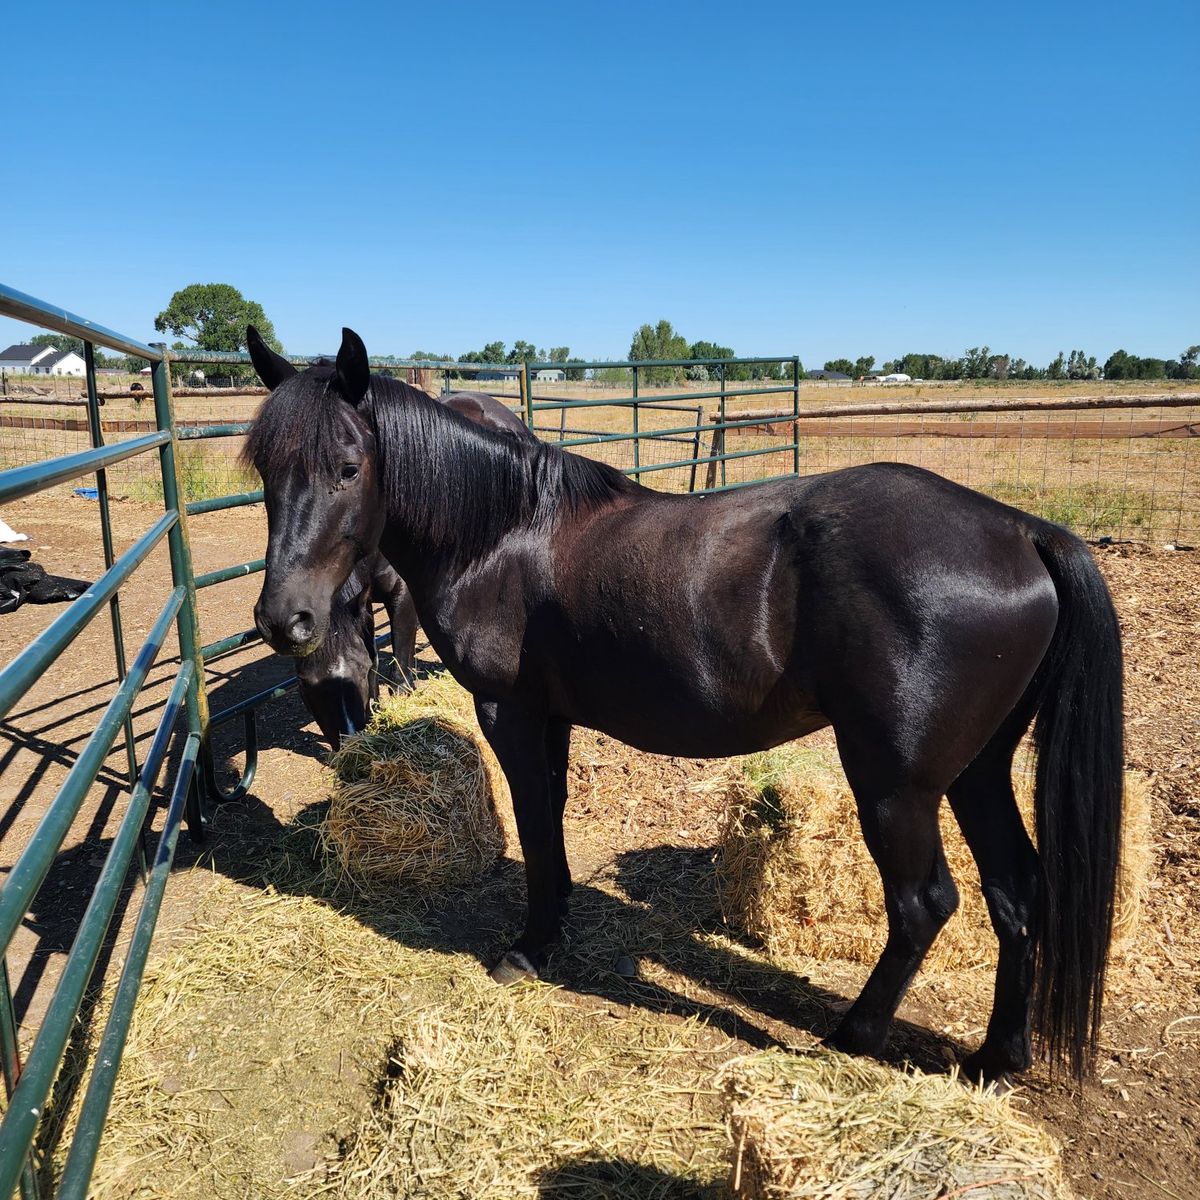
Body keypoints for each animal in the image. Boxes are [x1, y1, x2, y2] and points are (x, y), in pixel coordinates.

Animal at [244, 327, 1124, 1085]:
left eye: (348, 466)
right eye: (264, 470)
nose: (284, 620)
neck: (501, 533)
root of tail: (1022, 532)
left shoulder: (509, 711)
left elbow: (534, 819)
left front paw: (527, 947)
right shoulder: (550, 716)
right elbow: (550, 816)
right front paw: (554, 922)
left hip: (895, 783)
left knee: (923, 905)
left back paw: (851, 1038)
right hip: (977, 770)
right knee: (1017, 892)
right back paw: (995, 1059)